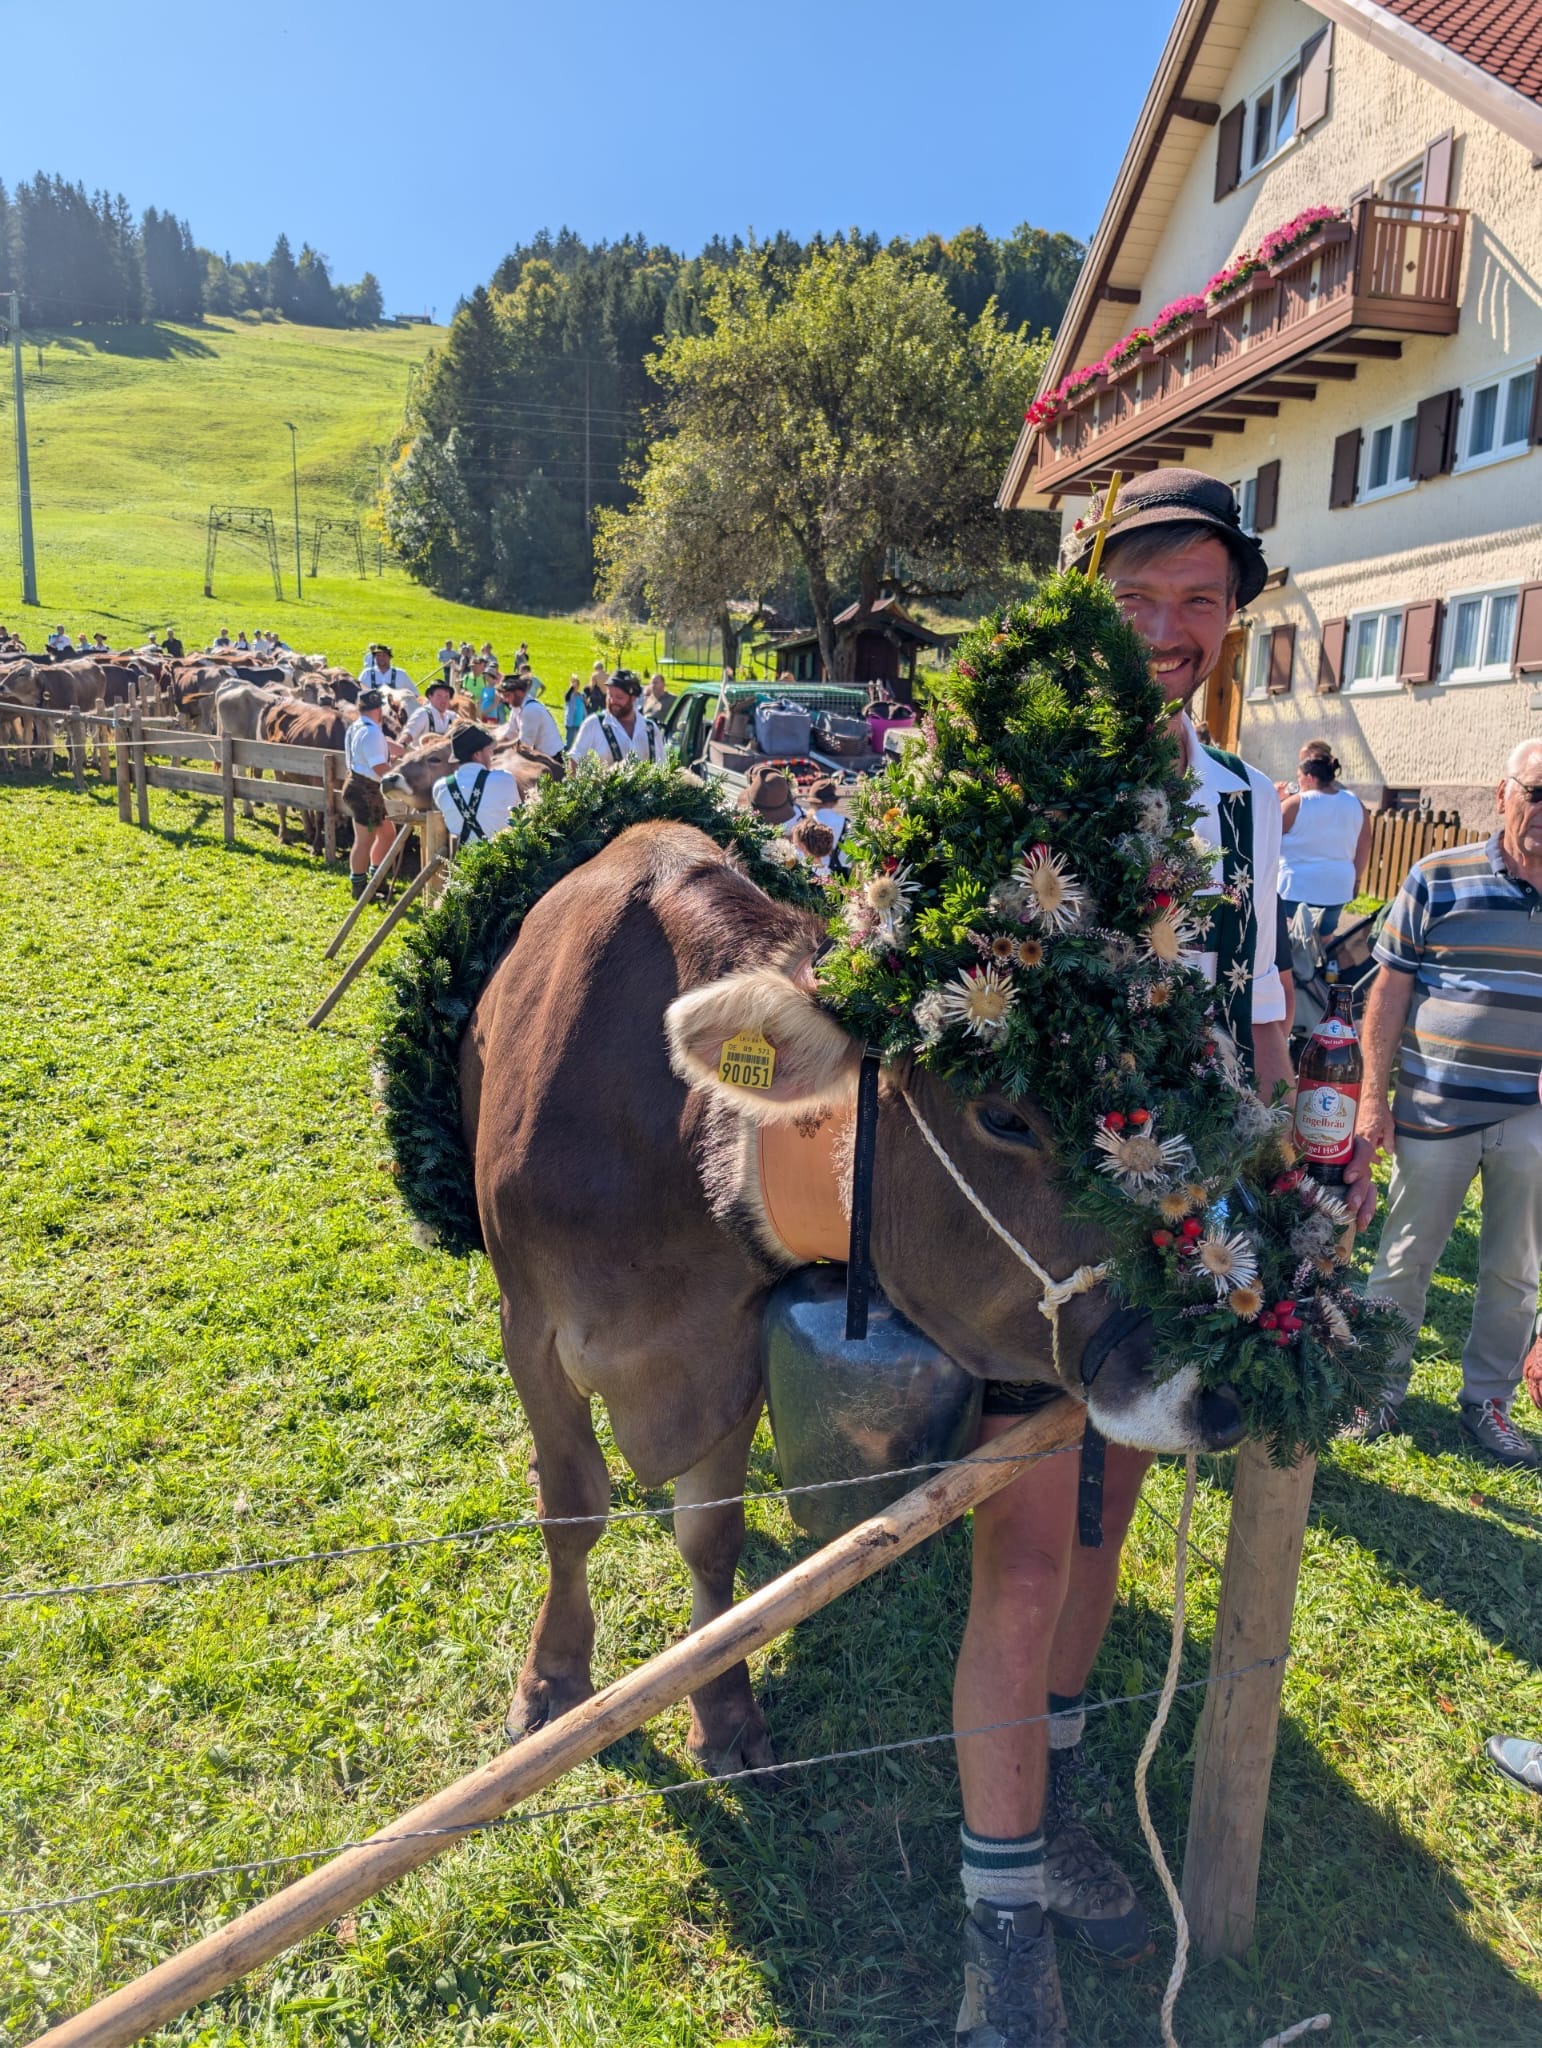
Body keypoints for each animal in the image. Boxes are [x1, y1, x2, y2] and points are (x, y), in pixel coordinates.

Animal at [448, 822, 1243, 1772]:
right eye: (1005, 1115)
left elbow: (710, 1537)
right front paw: (553, 1683)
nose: (1220, 1389)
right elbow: (573, 1511)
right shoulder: (529, 1327)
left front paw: (723, 1711)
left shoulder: (729, 1347)